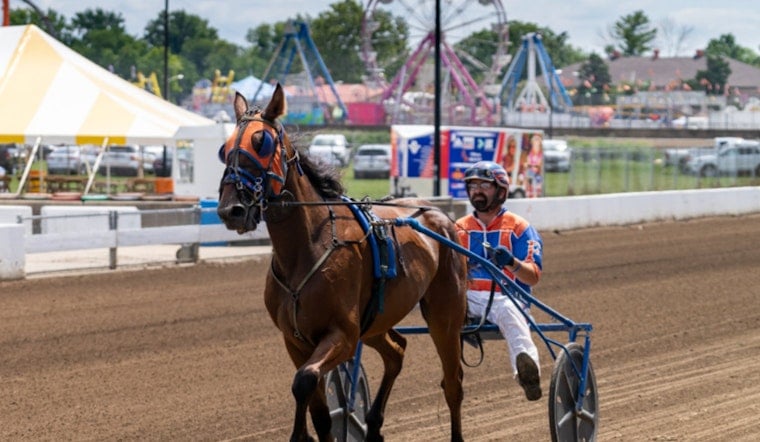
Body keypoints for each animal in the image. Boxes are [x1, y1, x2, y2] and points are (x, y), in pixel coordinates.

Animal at [216, 84, 468, 442]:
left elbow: (304, 380)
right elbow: (318, 408)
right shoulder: (295, 340)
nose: (231, 209)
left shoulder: (343, 335)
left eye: (261, 142)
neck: (307, 247)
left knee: (453, 383)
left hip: (444, 315)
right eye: (224, 149)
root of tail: (438, 212)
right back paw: (373, 424)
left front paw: (301, 435)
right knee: (396, 351)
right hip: (376, 320)